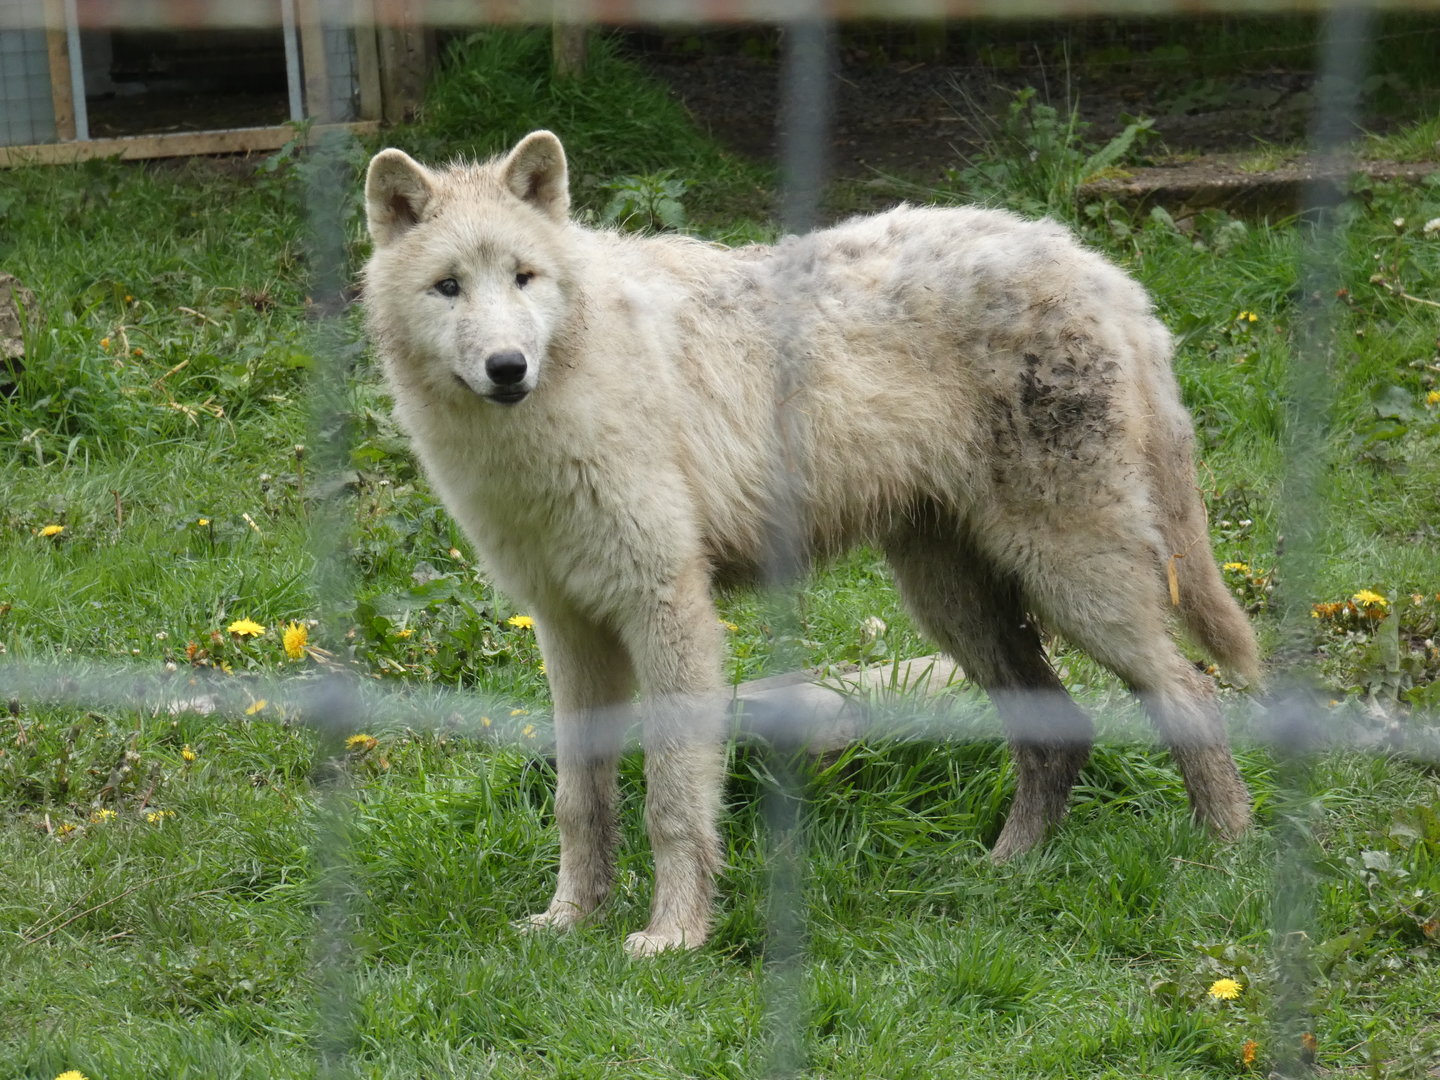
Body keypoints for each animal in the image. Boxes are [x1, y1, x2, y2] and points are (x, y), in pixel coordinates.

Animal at [362, 130, 1260, 956]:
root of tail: (1098, 268)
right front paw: (570, 920)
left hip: (1075, 584)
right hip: (955, 606)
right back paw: (1007, 868)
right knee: (1061, 731)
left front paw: (673, 936)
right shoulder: (568, 628)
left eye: (523, 277)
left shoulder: (668, 612)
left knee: (1191, 690)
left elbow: (671, 797)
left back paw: (1225, 856)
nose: (507, 366)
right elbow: (579, 802)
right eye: (449, 287)